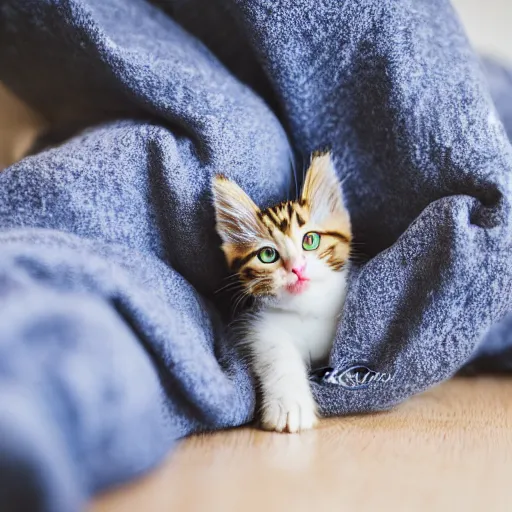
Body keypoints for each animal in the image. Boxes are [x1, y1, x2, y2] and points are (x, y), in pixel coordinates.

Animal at [210, 152, 350, 432]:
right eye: (267, 255)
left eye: (310, 240)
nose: (296, 268)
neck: (307, 309)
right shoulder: (258, 327)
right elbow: (277, 355)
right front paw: (289, 405)